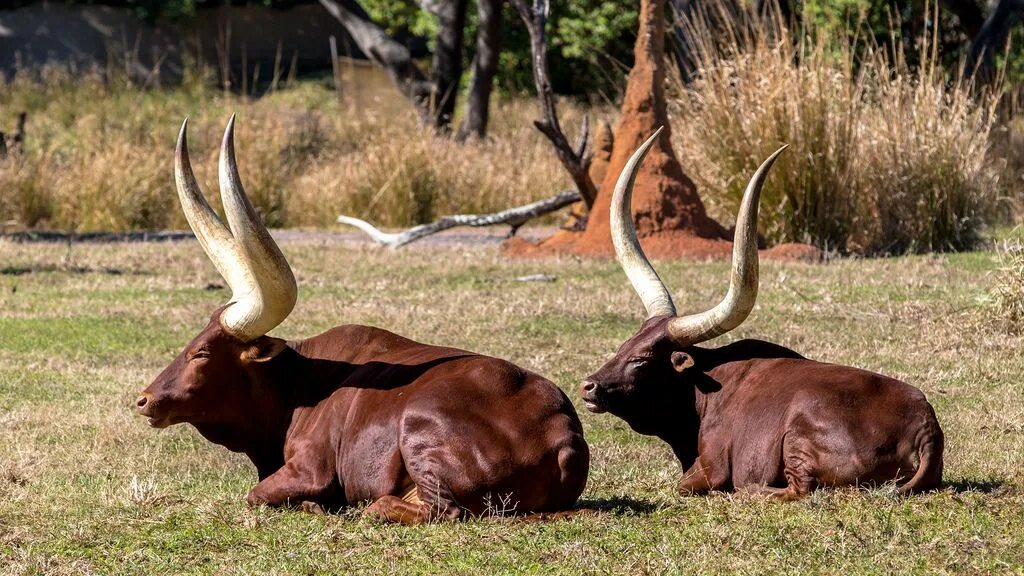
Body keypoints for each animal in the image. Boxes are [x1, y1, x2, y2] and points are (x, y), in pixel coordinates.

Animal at [134, 116, 593, 520]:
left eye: (202, 353)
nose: (144, 399)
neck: (295, 386)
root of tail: (562, 430)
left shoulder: (309, 469)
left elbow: (257, 494)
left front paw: (315, 505)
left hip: (419, 426)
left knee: (436, 510)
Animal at [581, 131, 946, 498]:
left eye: (641, 360)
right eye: (623, 347)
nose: (588, 385)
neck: (702, 387)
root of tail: (925, 426)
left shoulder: (710, 467)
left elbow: (683, 485)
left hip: (799, 435)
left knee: (800, 489)